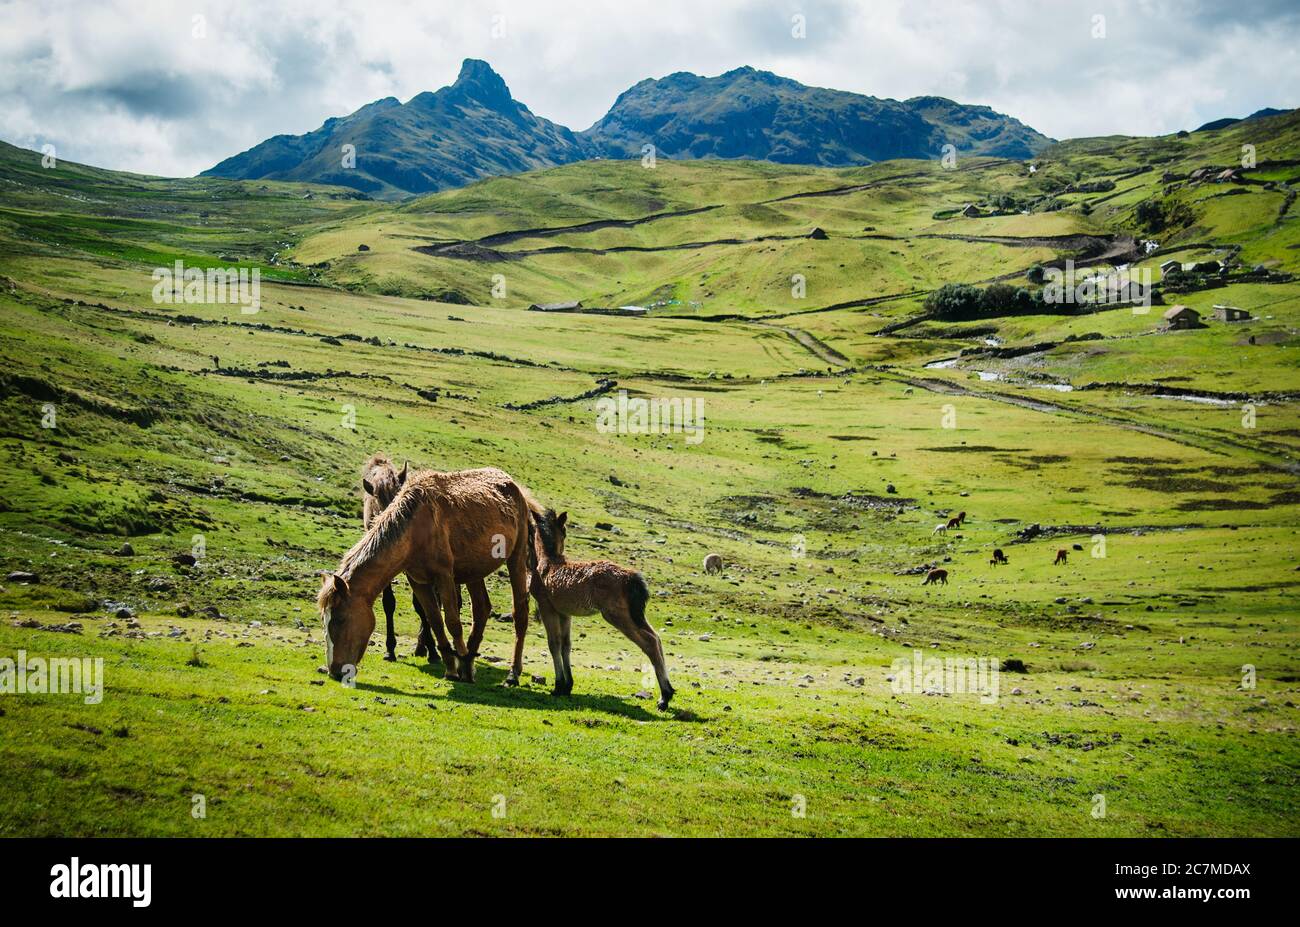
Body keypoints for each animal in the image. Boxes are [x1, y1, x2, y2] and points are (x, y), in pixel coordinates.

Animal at [317, 465, 535, 681]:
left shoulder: (444, 577)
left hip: (516, 558)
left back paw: (512, 673)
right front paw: (452, 668)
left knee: (520, 613)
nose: (334, 671)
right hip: (474, 571)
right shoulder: (418, 582)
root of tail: (512, 484)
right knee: (481, 609)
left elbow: (452, 622)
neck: (415, 530)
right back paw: (469, 661)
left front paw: (458, 664)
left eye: (340, 619)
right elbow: (435, 620)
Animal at [527, 507, 676, 707]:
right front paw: (568, 685)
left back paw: (664, 698)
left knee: (650, 642)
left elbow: (554, 643)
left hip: (616, 615)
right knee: (657, 638)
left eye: (565, 531)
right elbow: (566, 644)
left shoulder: (547, 607)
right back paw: (667, 691)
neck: (548, 563)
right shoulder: (565, 613)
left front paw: (558, 687)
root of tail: (632, 578)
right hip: (636, 615)